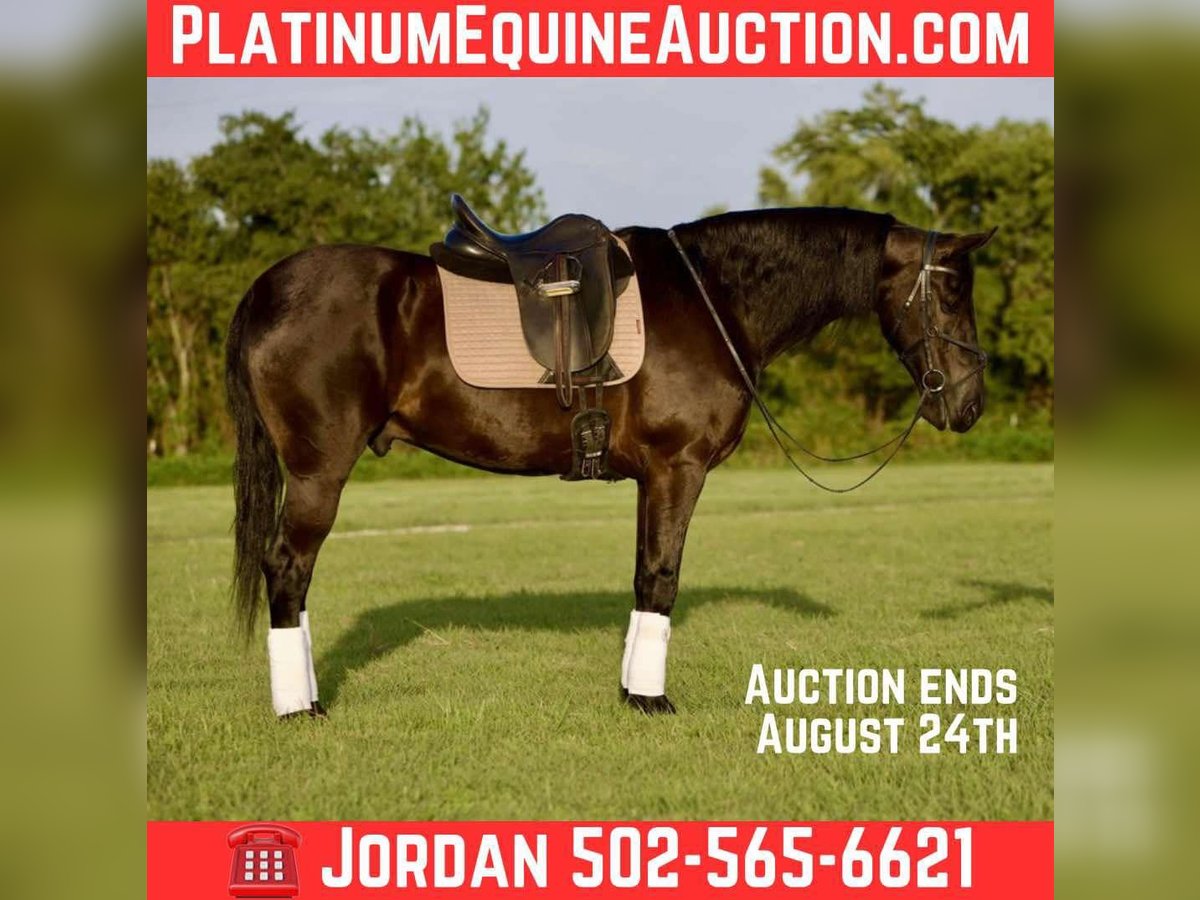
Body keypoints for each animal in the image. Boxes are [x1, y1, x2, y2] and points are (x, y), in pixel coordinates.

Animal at [225, 206, 994, 717]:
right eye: (954, 290)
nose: (970, 404)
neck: (711, 296)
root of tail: (268, 289)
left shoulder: (651, 478)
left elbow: (643, 575)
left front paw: (632, 689)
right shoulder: (679, 469)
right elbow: (662, 578)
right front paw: (652, 700)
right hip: (319, 472)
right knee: (287, 569)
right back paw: (300, 707)